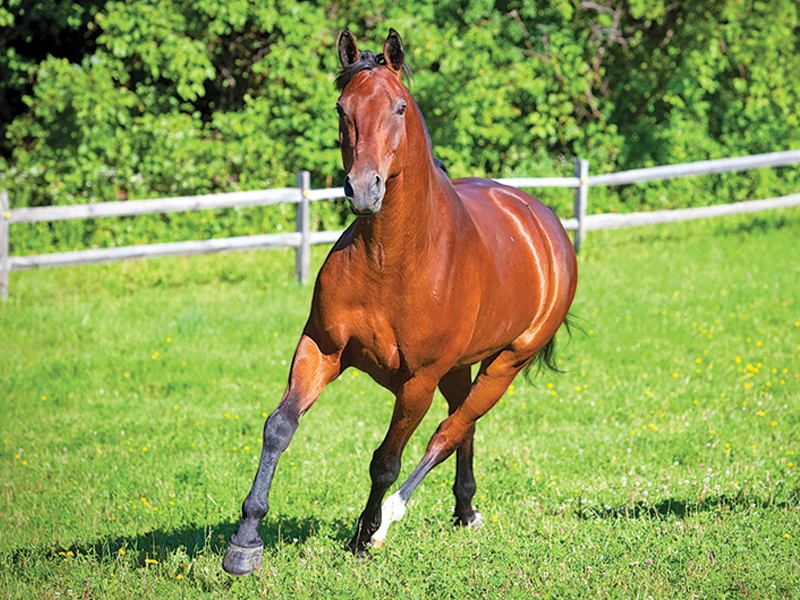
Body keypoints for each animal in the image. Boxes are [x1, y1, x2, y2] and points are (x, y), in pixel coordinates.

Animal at [222, 28, 577, 576]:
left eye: (399, 107)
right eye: (342, 107)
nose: (363, 189)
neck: (391, 260)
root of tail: (544, 221)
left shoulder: (417, 381)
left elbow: (386, 460)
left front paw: (363, 536)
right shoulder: (321, 348)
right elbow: (279, 427)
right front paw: (245, 541)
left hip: (505, 364)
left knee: (450, 431)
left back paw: (393, 519)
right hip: (460, 368)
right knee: (463, 426)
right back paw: (464, 509)